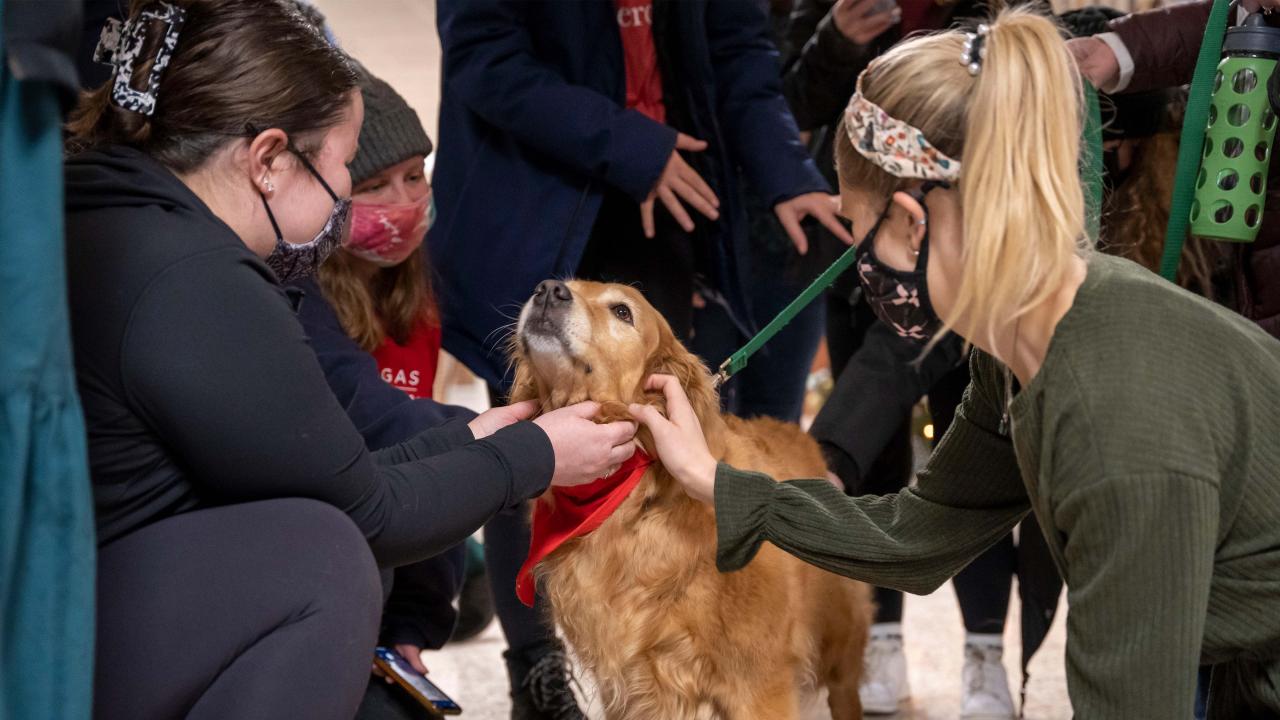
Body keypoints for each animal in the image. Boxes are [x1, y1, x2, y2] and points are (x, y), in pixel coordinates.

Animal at [506, 278, 870, 712]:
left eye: (622, 312)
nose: (548, 290)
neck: (630, 507)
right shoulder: (627, 688)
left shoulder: (760, 686)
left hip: (840, 652)